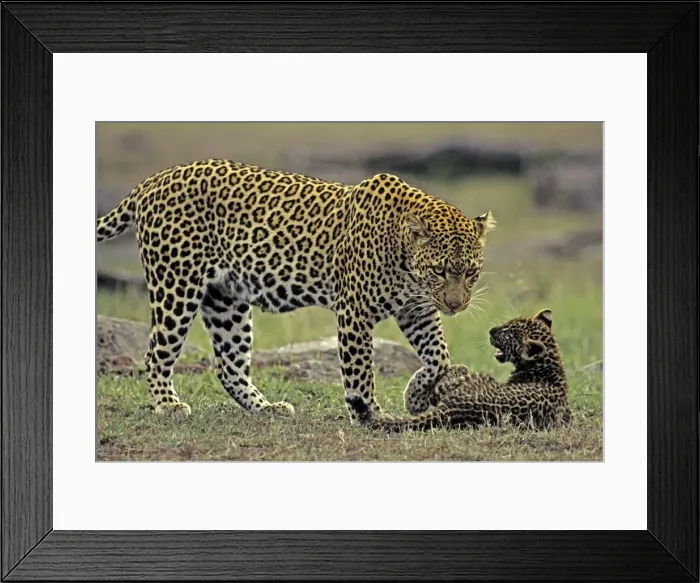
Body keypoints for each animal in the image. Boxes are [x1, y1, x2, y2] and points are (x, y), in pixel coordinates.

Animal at [96, 159, 495, 424]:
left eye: (471, 273)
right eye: (440, 270)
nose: (456, 305)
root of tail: (152, 180)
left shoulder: (417, 309)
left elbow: (439, 357)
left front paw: (415, 397)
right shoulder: (354, 311)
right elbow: (361, 371)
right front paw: (370, 415)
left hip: (226, 301)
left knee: (228, 366)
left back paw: (267, 408)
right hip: (176, 287)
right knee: (156, 354)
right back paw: (167, 404)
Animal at [350, 309, 572, 431]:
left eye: (508, 333)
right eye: (507, 324)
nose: (491, 331)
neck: (550, 365)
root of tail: (454, 408)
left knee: (443, 386)